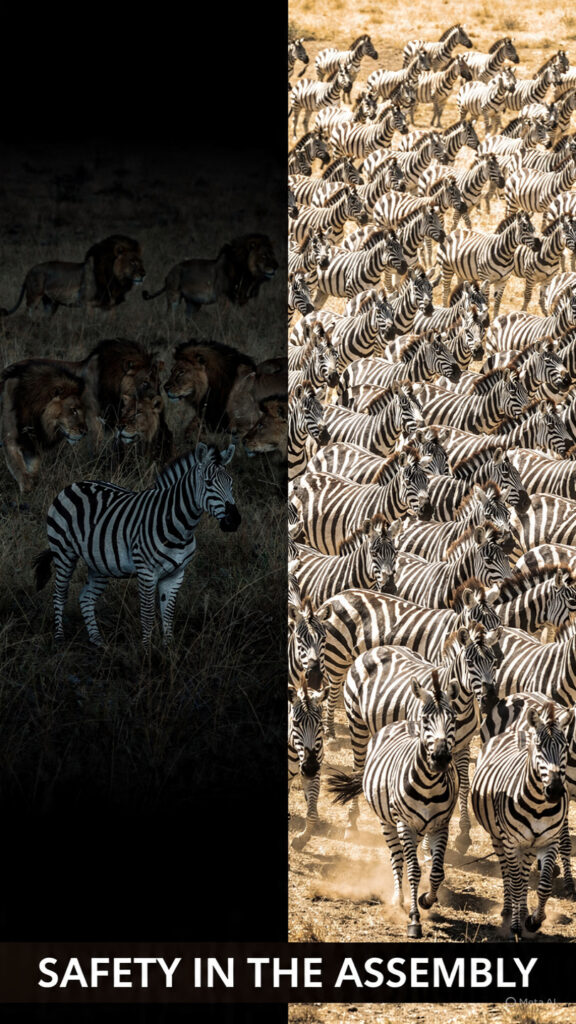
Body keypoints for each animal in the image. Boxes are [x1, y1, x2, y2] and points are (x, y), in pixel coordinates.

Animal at [33, 444, 241, 647]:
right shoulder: (147, 572)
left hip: (99, 563)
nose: (234, 520)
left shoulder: (176, 574)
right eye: (208, 483)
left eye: (231, 483)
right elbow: (148, 615)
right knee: (60, 595)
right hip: (63, 552)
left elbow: (168, 614)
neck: (180, 528)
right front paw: (146, 652)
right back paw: (59, 639)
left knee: (86, 598)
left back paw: (97, 640)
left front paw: (168, 649)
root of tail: (74, 484)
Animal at [327, 675, 459, 938]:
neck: (430, 786)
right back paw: (398, 899)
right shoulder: (404, 824)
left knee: (408, 858)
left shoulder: (441, 825)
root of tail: (399, 722)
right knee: (397, 859)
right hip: (389, 823)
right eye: (426, 720)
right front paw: (414, 919)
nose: (440, 758)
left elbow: (437, 872)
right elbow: (414, 870)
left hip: (417, 829)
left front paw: (426, 900)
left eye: (453, 720)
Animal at [471, 702, 568, 937]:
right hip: (498, 838)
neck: (539, 807)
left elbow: (543, 886)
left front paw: (534, 920)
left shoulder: (549, 841)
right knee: (507, 872)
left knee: (524, 875)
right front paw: (515, 926)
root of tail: (513, 731)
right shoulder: (511, 841)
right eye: (539, 747)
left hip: (530, 845)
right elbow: (515, 883)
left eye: (565, 748)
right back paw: (508, 909)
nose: (554, 790)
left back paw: (523, 910)